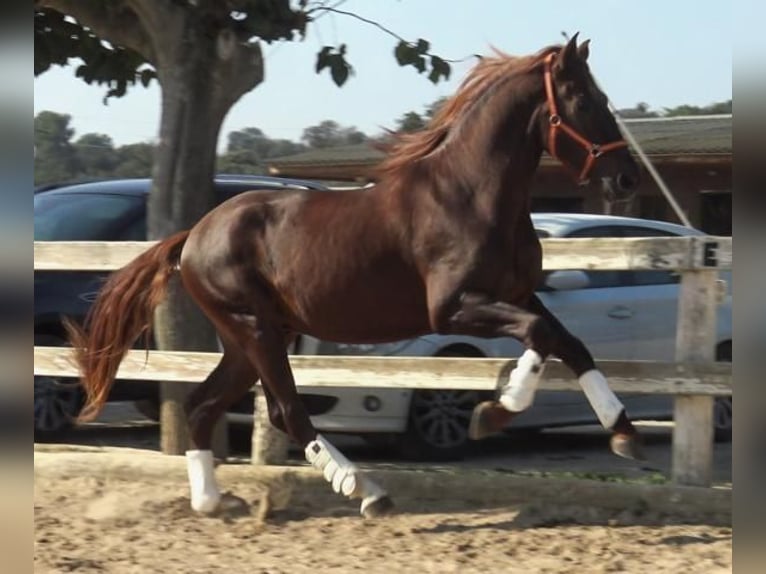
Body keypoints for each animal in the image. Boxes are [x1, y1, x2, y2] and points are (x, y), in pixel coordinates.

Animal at [66, 35, 644, 520]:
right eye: (585, 101)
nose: (627, 179)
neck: (471, 196)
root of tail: (194, 235)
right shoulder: (454, 308)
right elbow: (541, 336)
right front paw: (496, 411)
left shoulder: (518, 294)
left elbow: (568, 342)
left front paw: (622, 432)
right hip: (256, 329)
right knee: (287, 413)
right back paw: (364, 490)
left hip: (250, 338)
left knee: (202, 406)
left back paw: (211, 501)